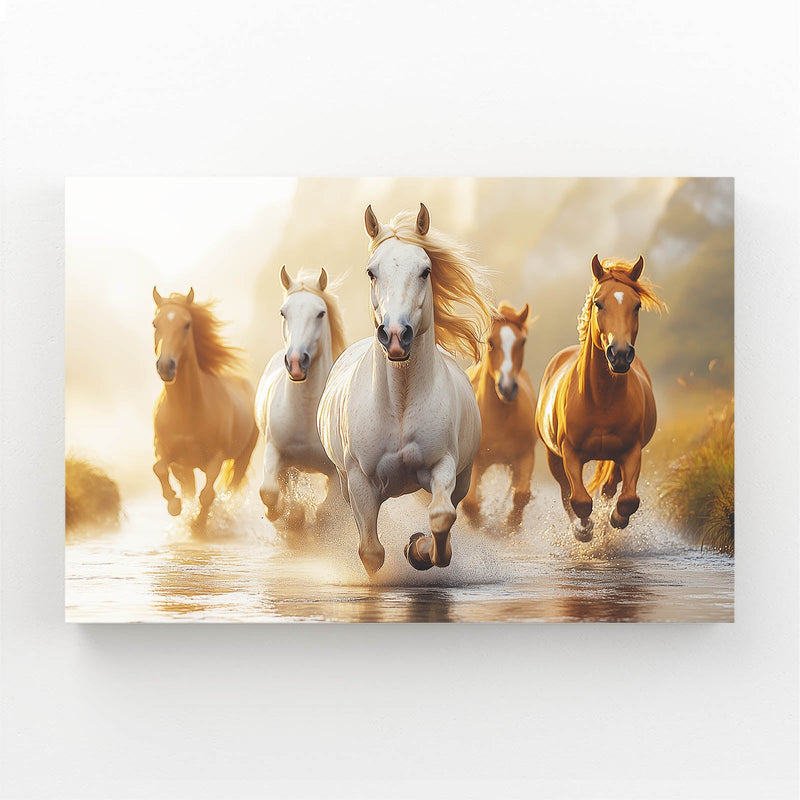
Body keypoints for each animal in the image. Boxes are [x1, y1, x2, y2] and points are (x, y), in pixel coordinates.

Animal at [152, 287, 258, 531]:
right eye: (155, 323)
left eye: (187, 324)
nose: (166, 366)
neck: (186, 410)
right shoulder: (167, 452)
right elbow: (159, 468)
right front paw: (175, 505)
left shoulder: (216, 458)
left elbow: (208, 495)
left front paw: (198, 524)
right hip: (186, 467)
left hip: (243, 457)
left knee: (231, 488)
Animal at [255, 266, 347, 529]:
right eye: (283, 312)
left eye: (320, 313)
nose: (296, 362)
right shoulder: (274, 451)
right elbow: (268, 491)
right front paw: (286, 513)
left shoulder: (335, 472)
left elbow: (328, 510)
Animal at [317, 203, 493, 575]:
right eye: (371, 272)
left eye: (426, 270)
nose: (396, 335)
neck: (399, 406)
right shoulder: (360, 483)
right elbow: (371, 552)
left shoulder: (443, 465)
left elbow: (441, 517)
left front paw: (418, 549)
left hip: (464, 477)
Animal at [461, 301, 537, 527]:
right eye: (491, 342)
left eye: (522, 342)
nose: (507, 387)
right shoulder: (475, 463)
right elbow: (469, 503)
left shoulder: (526, 455)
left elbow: (521, 495)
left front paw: (511, 523)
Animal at [535, 255, 664, 540]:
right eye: (598, 303)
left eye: (637, 305)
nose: (620, 354)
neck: (600, 399)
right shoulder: (569, 453)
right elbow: (579, 500)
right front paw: (584, 529)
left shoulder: (631, 450)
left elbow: (628, 499)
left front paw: (615, 519)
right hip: (553, 457)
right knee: (566, 491)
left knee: (610, 487)